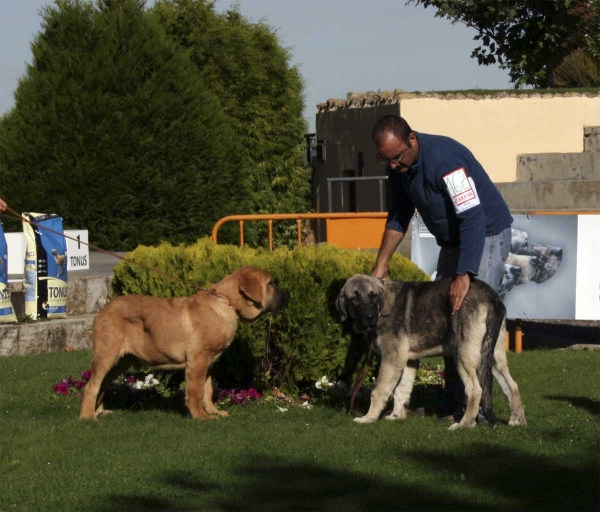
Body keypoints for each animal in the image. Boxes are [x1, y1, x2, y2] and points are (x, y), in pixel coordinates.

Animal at [80, 264, 288, 420]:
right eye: (270, 283)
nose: (289, 295)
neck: (226, 304)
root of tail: (102, 311)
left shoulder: (208, 363)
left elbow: (207, 390)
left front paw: (214, 412)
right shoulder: (197, 360)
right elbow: (196, 392)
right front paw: (201, 417)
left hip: (123, 360)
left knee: (102, 384)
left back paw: (100, 411)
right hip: (107, 354)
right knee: (92, 385)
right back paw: (88, 417)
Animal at [336, 274, 528, 430]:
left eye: (373, 296)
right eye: (354, 298)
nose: (369, 317)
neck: (383, 307)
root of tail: (491, 297)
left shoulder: (392, 358)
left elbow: (379, 390)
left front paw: (368, 418)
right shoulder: (408, 361)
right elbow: (402, 390)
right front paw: (396, 416)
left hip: (463, 354)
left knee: (475, 390)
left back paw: (464, 424)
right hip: (491, 355)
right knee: (512, 385)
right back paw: (517, 421)